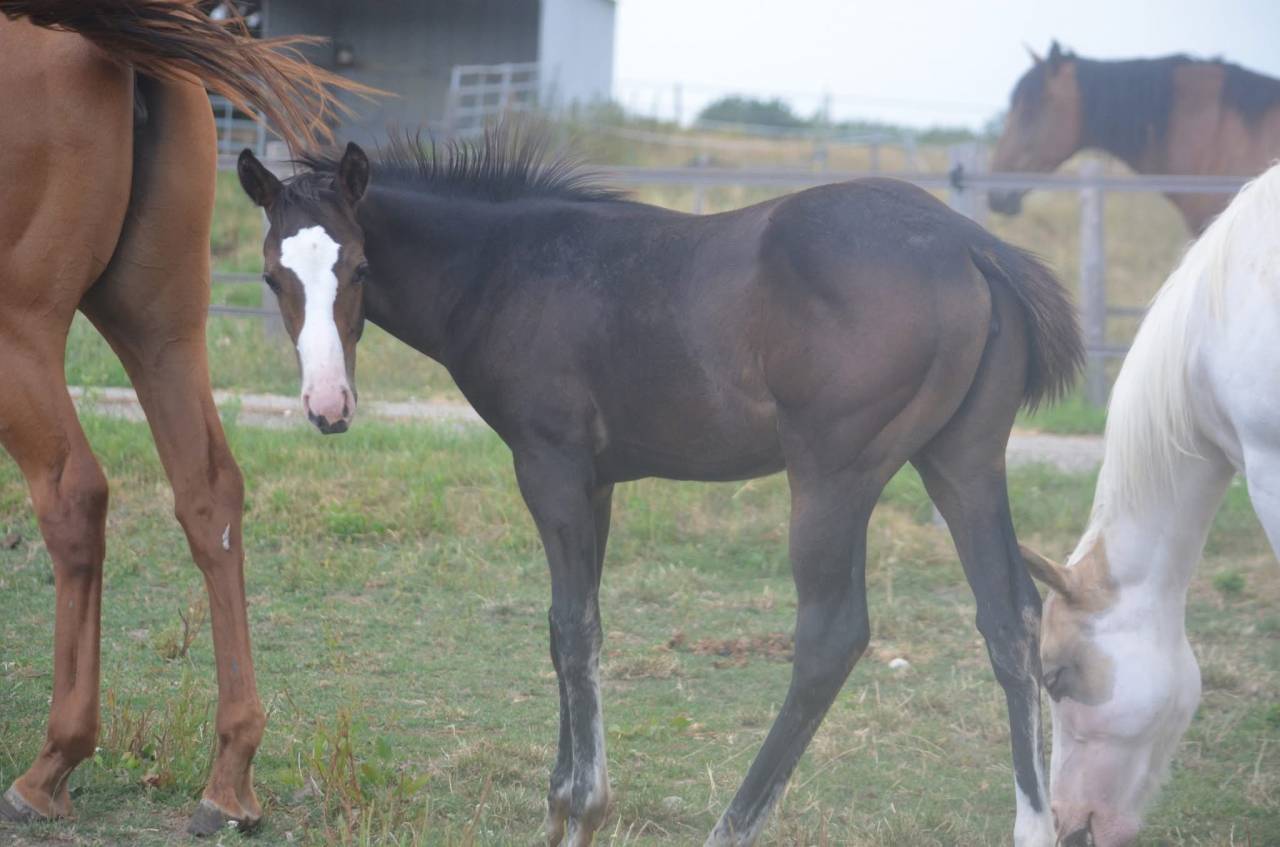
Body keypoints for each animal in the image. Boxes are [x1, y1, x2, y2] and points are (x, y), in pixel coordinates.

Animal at [0, 0, 367, 835]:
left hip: (22, 333)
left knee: (75, 494)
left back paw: (53, 763)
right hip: (159, 325)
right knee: (209, 492)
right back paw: (229, 776)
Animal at [236, 130, 1084, 847]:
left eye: (359, 268)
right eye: (273, 276)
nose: (328, 405)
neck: (504, 267)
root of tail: (972, 245)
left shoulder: (549, 465)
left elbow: (574, 630)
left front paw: (582, 807)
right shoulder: (596, 482)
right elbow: (571, 624)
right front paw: (559, 803)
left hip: (833, 474)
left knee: (831, 636)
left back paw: (732, 826)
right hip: (962, 459)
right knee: (1010, 617)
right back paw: (1035, 823)